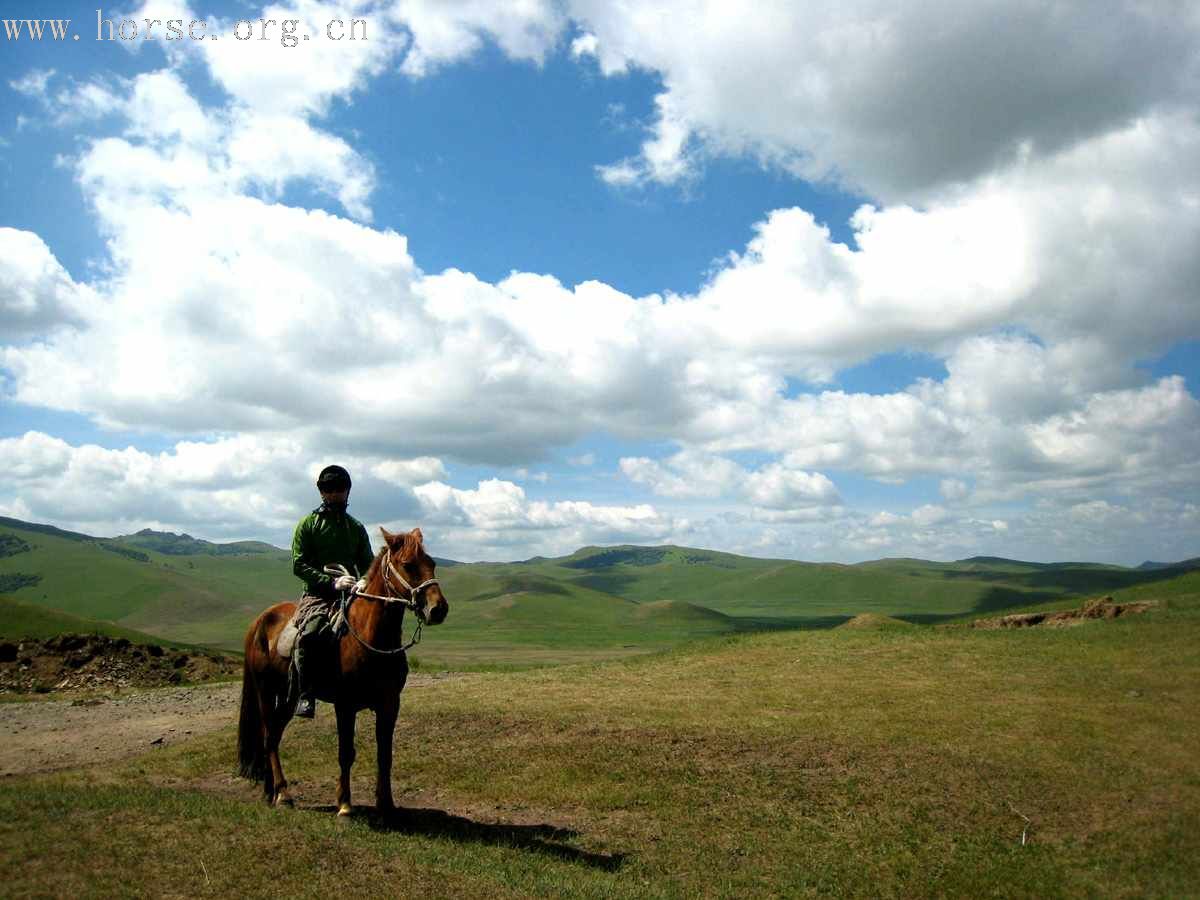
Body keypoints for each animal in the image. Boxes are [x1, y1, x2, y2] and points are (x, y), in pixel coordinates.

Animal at [236, 525, 448, 816]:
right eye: (407, 565)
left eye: (432, 563)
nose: (438, 609)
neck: (369, 638)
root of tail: (259, 622)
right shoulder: (345, 705)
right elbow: (346, 753)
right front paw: (345, 805)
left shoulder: (390, 704)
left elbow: (385, 753)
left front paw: (386, 804)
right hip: (265, 691)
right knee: (269, 737)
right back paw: (283, 794)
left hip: (288, 696)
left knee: (275, 735)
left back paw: (272, 791)